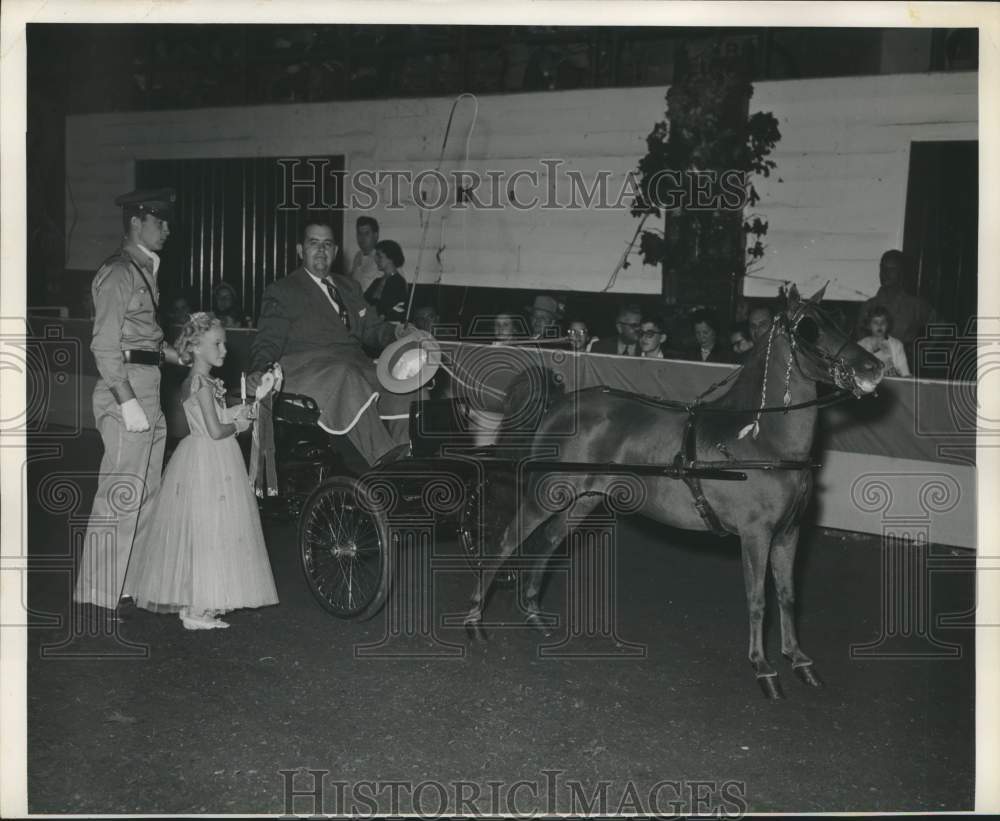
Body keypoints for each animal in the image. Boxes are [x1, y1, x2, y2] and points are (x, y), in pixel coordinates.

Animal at [464, 284, 888, 700]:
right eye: (810, 328)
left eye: (838, 320)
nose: (874, 368)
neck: (760, 440)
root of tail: (562, 403)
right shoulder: (755, 534)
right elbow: (758, 599)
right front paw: (763, 668)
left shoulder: (789, 532)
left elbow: (786, 595)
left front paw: (799, 661)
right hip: (548, 491)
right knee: (508, 540)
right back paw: (474, 620)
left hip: (584, 499)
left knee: (549, 540)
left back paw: (534, 615)